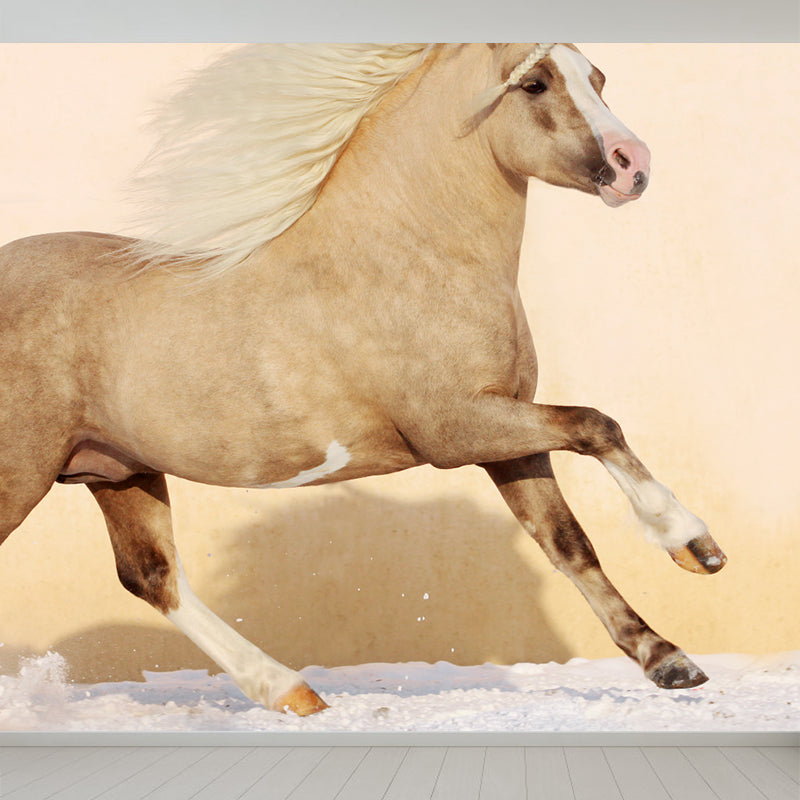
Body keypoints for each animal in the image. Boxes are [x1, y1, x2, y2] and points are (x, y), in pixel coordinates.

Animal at [0, 43, 726, 716]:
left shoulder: (507, 436)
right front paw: (693, 544)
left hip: (116, 469)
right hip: (25, 474)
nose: (635, 165)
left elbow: (568, 542)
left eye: (598, 77)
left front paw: (670, 660)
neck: (411, 255)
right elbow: (596, 424)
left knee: (153, 575)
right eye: (535, 84)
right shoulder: (458, 431)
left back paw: (293, 693)